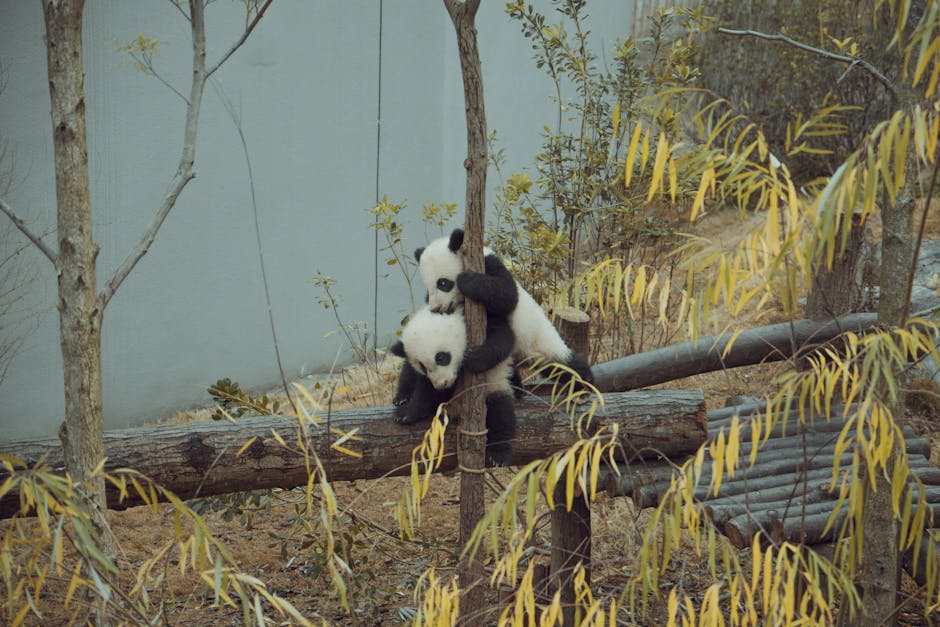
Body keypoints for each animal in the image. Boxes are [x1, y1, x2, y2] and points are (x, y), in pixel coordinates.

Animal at [389, 306, 517, 466]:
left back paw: (498, 456)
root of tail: (456, 410)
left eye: (441, 357)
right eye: (423, 366)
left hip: (493, 385)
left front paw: (476, 359)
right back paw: (401, 397)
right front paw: (405, 411)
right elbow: (422, 384)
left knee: (501, 413)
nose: (442, 384)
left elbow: (502, 337)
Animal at [414, 228, 594, 389]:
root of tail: (526, 357)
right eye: (428, 289)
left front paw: (466, 280)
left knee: (568, 365)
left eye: (443, 283)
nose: (436, 308)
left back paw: (585, 383)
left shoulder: (489, 263)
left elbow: (507, 295)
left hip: (543, 341)